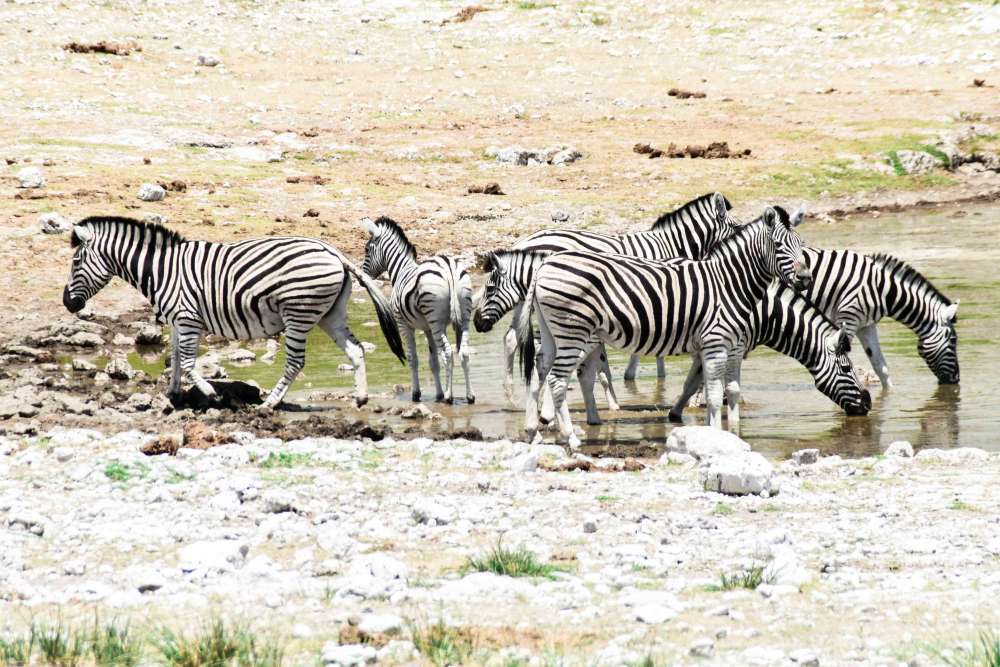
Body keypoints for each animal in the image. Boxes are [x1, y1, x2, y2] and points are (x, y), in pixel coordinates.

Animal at [62, 217, 404, 410]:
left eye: (76, 261)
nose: (67, 304)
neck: (162, 270)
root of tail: (334, 252)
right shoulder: (177, 321)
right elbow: (175, 358)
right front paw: (173, 394)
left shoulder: (187, 318)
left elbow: (188, 362)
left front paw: (212, 395)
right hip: (329, 315)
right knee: (356, 350)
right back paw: (360, 398)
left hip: (299, 313)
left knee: (295, 362)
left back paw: (269, 404)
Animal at [362, 217, 474, 404]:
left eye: (366, 250)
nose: (363, 278)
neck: (401, 270)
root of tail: (449, 268)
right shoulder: (428, 328)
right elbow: (433, 361)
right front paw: (438, 394)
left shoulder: (404, 324)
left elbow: (413, 358)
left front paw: (417, 394)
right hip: (462, 317)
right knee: (464, 352)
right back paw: (470, 396)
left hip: (435, 319)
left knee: (448, 353)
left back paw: (449, 396)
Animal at [492, 193, 736, 402]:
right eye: (735, 227)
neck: (669, 244)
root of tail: (522, 242)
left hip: (524, 302)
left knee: (511, 338)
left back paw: (508, 388)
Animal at [516, 209, 812, 448]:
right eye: (778, 245)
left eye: (802, 245)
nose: (806, 278)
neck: (728, 281)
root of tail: (543, 266)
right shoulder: (717, 343)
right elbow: (716, 396)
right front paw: (718, 434)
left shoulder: (715, 346)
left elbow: (712, 391)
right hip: (572, 331)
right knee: (557, 379)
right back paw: (570, 437)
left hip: (553, 331)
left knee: (540, 368)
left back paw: (533, 431)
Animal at [796, 249, 960, 386]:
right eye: (953, 341)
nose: (956, 379)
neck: (882, 290)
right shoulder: (847, 319)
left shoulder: (865, 325)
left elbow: (880, 366)